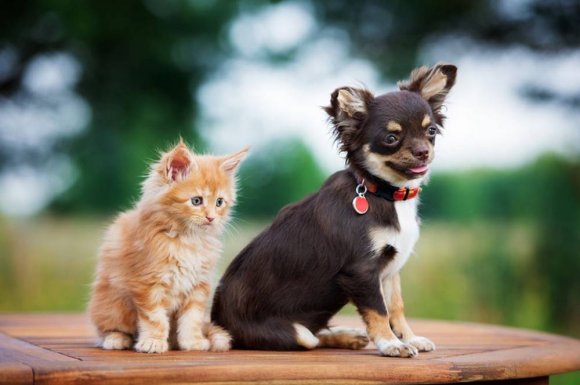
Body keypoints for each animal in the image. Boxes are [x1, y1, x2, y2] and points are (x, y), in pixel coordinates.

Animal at [88, 140, 247, 352]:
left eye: (219, 202)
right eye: (196, 201)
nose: (211, 217)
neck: (187, 240)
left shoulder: (198, 285)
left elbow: (192, 318)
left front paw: (193, 341)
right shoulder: (147, 283)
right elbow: (155, 318)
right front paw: (153, 342)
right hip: (111, 304)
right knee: (109, 327)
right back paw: (116, 338)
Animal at [211, 63, 456, 356]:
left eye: (431, 131)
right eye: (391, 138)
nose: (423, 152)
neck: (384, 193)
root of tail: (216, 322)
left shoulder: (390, 269)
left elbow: (396, 306)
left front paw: (409, 337)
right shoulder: (362, 271)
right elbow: (379, 310)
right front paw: (391, 344)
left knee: (317, 336)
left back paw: (347, 336)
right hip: (290, 332)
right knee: (310, 339)